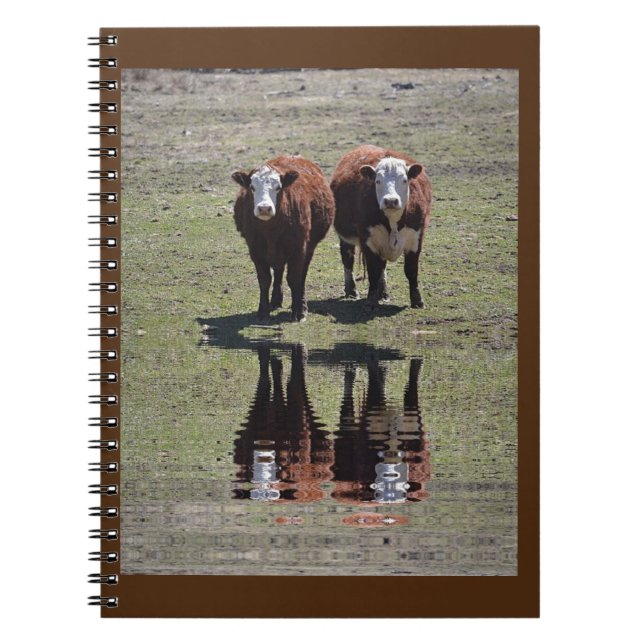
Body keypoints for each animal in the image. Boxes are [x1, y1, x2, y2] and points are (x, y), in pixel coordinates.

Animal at [232, 155, 335, 321]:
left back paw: (301, 303)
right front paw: (263, 311)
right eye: (252, 187)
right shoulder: (255, 249)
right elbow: (264, 280)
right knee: (278, 270)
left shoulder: (299, 249)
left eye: (278, 187)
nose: (264, 208)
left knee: (302, 276)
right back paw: (275, 300)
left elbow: (294, 279)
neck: (271, 231)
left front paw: (298, 312)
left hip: (308, 248)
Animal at [330, 145, 432, 308]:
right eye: (378, 181)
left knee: (382, 266)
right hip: (345, 238)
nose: (390, 200)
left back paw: (383, 292)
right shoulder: (368, 240)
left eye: (404, 180)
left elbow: (411, 270)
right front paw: (371, 300)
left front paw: (417, 300)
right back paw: (351, 290)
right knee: (348, 259)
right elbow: (373, 270)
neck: (393, 222)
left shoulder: (416, 238)